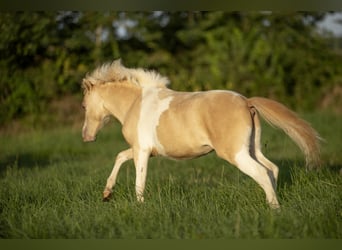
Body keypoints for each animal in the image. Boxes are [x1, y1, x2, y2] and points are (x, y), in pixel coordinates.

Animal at [81, 59, 320, 209]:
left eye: (84, 106)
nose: (86, 137)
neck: (135, 104)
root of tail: (246, 102)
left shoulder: (142, 151)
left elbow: (139, 181)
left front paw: (139, 206)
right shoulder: (143, 150)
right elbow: (120, 156)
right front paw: (107, 194)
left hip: (235, 154)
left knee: (261, 172)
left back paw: (274, 210)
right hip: (252, 149)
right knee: (272, 169)